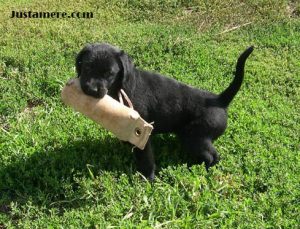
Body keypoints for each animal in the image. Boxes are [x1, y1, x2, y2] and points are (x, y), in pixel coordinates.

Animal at [76, 43, 254, 179]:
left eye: (109, 73)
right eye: (86, 67)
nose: (91, 89)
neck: (122, 85)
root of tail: (219, 100)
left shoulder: (142, 133)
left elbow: (146, 159)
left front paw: (147, 179)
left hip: (196, 138)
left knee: (212, 156)